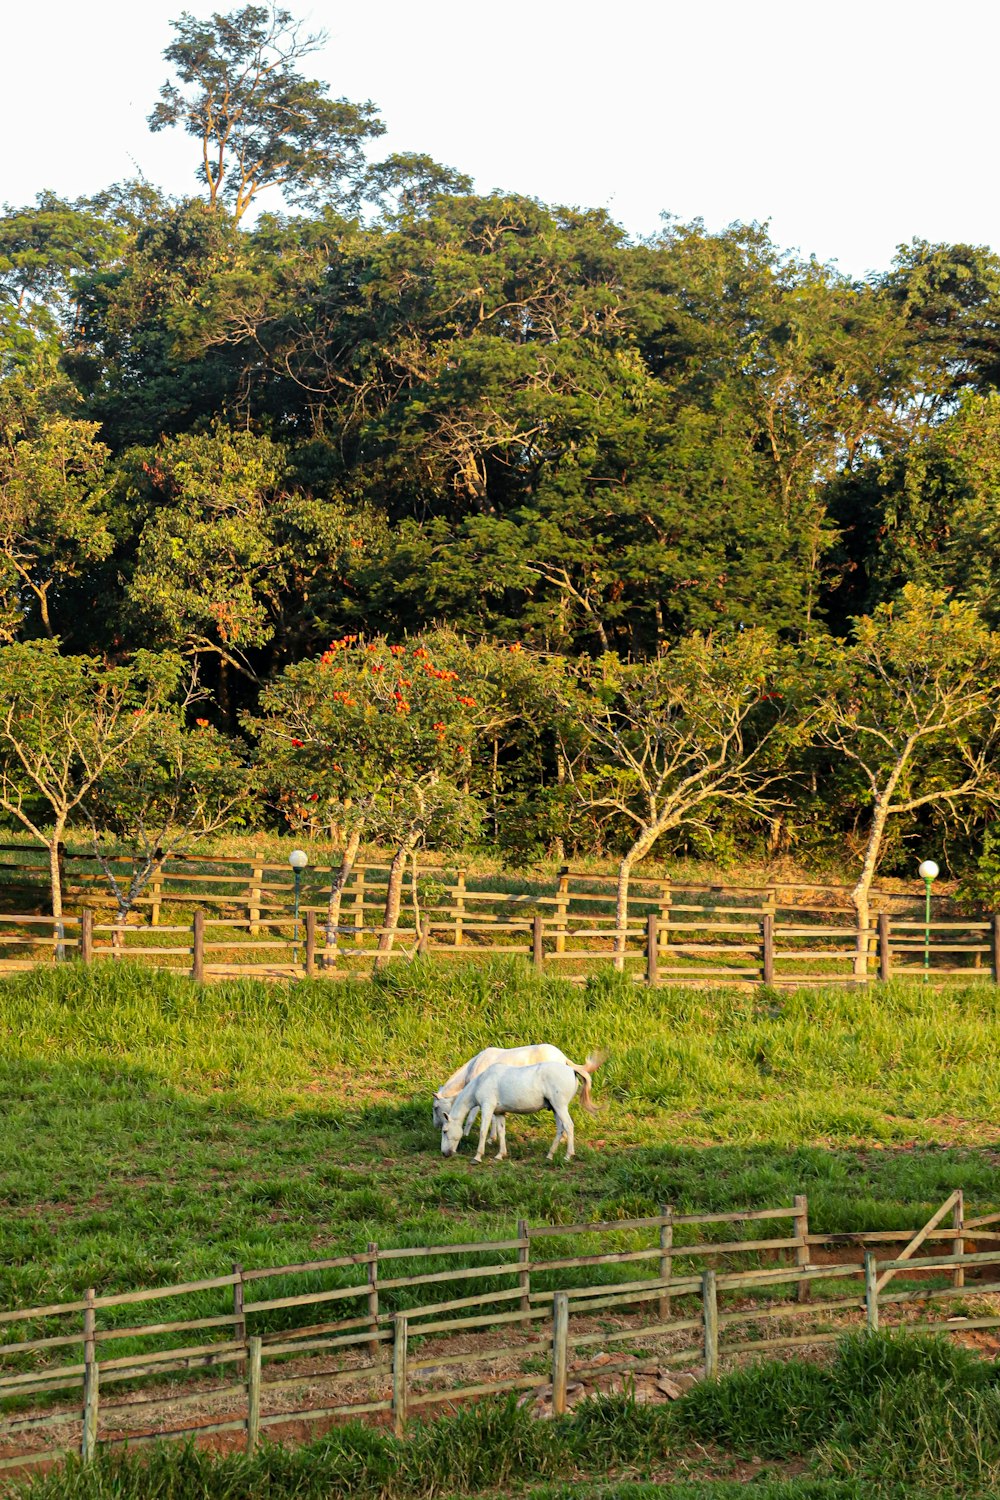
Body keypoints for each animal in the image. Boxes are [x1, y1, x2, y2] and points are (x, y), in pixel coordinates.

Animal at [440, 1050, 605, 1164]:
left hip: (560, 1107)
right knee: (560, 1129)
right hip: (555, 1109)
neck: (482, 1081)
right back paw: (550, 1155)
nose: (444, 1153)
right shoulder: (499, 1113)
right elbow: (501, 1132)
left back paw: (567, 1156)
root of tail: (571, 1069)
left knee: (569, 1126)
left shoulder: (487, 1108)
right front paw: (500, 1155)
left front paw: (477, 1157)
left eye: (444, 1131)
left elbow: (483, 1131)